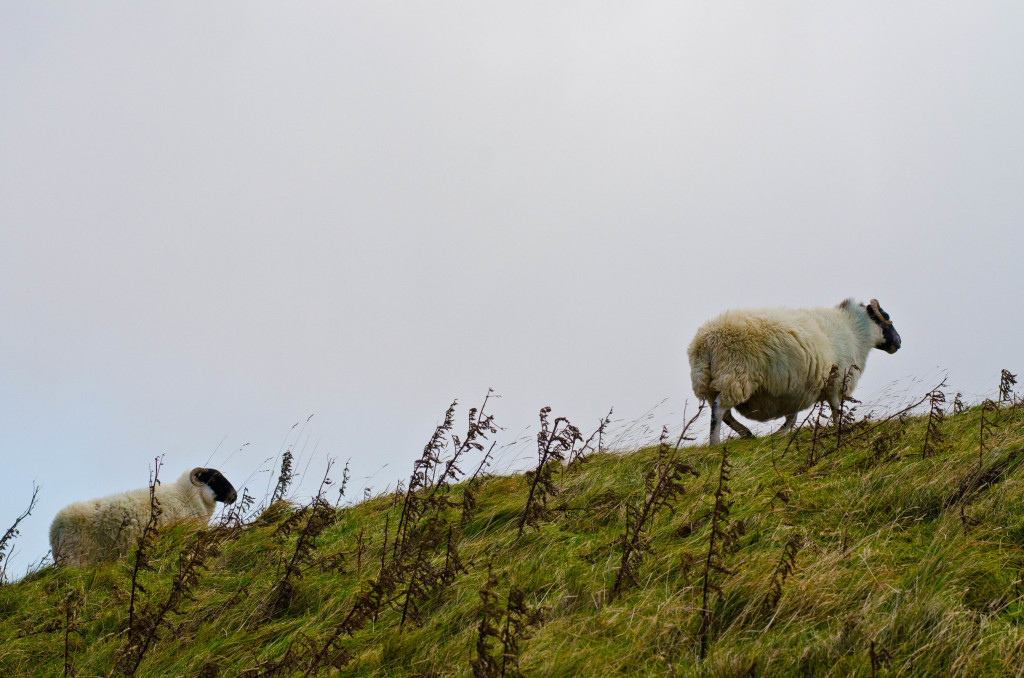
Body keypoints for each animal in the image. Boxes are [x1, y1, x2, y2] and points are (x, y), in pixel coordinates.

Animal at [692, 301, 901, 448]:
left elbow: (792, 417)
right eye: (886, 317)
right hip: (735, 374)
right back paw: (715, 443)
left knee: (725, 413)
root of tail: (705, 342)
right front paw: (839, 429)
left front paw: (781, 433)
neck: (855, 332)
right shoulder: (835, 382)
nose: (899, 342)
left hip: (714, 382)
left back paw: (746, 434)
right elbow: (836, 410)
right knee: (719, 410)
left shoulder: (796, 391)